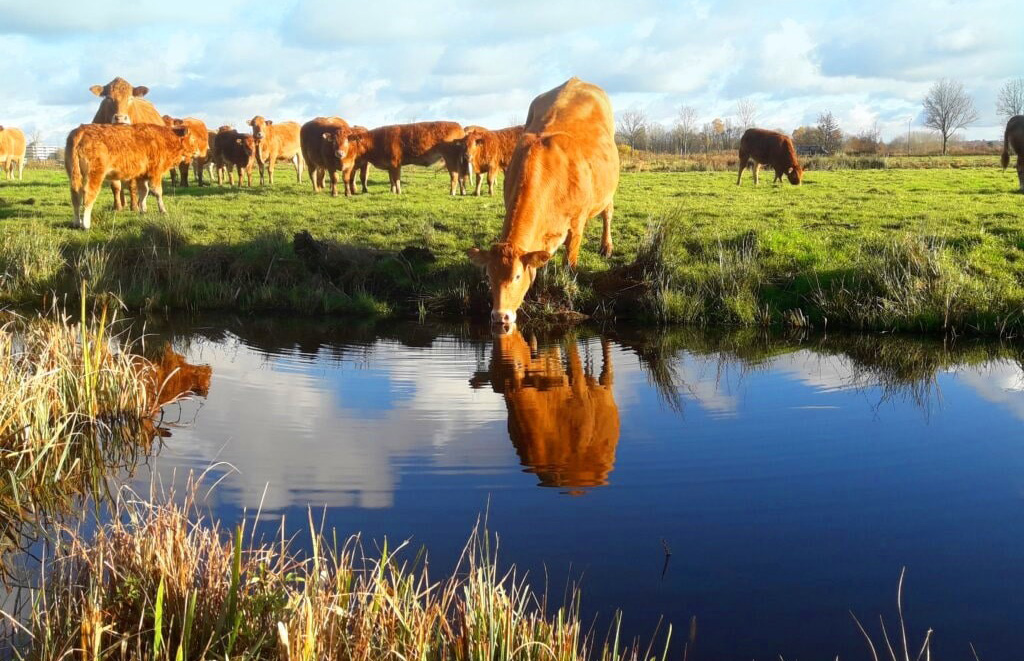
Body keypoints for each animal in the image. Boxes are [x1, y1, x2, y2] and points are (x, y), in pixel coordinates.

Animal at [64, 123, 192, 230]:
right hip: (94, 175)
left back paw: (76, 222)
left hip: (74, 175)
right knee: (88, 195)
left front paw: (143, 210)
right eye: (192, 138)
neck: (164, 139)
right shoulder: (155, 173)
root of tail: (81, 130)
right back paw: (86, 224)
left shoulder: (142, 175)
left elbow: (143, 192)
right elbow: (157, 192)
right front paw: (163, 210)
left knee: (76, 196)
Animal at [89, 77, 164, 212]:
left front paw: (134, 206)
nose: (120, 118)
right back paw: (122, 203)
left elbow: (133, 185)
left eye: (130, 98)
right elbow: (115, 186)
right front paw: (117, 207)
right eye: (108, 98)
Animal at [466, 78, 614, 327]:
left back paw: (606, 246)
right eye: (488, 275)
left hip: (608, 191)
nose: (500, 316)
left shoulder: (576, 225)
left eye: (516, 276)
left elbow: (569, 264)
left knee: (607, 214)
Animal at [468, 331, 618, 491]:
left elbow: (572, 351)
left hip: (605, 390)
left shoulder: (579, 387)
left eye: (518, 366)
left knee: (607, 372)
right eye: (490, 365)